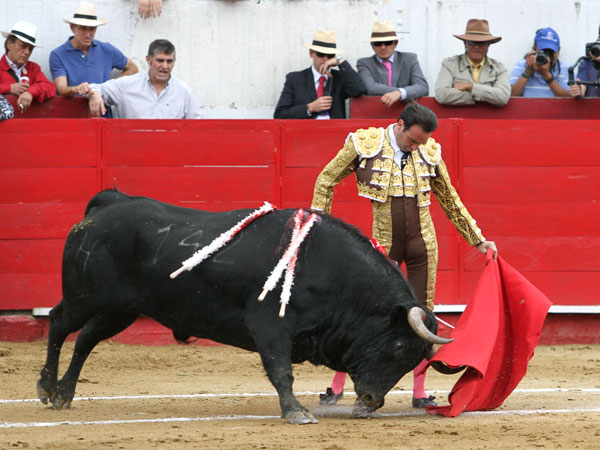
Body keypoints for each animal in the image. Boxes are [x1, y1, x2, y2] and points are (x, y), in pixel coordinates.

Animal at [37, 190, 450, 422]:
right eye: (399, 346)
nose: (370, 401)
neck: (333, 271)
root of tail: (106, 206)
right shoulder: (270, 326)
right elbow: (281, 371)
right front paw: (296, 413)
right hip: (84, 297)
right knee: (59, 324)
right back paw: (45, 388)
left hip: (121, 310)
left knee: (86, 339)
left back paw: (65, 394)